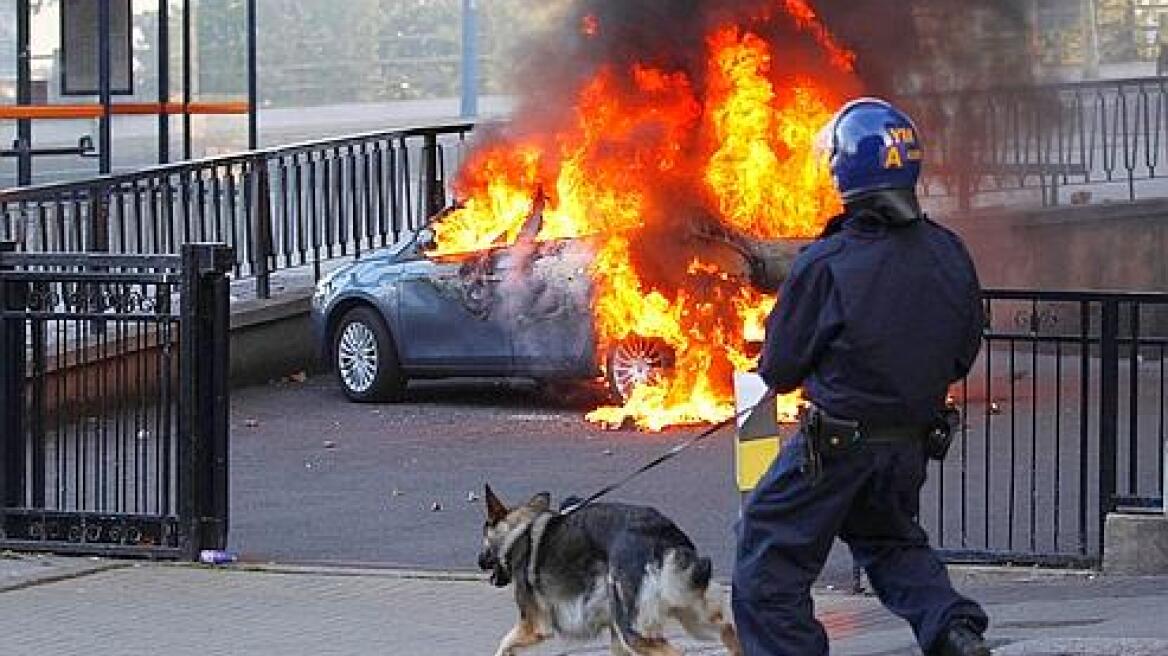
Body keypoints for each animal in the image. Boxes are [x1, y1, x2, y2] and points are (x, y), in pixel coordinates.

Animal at [478, 483, 742, 653]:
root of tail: (662, 533)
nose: (479, 561)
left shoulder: (534, 627)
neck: (518, 531)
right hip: (695, 616)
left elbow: (503, 645)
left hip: (636, 633)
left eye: (483, 536)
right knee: (730, 631)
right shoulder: (615, 637)